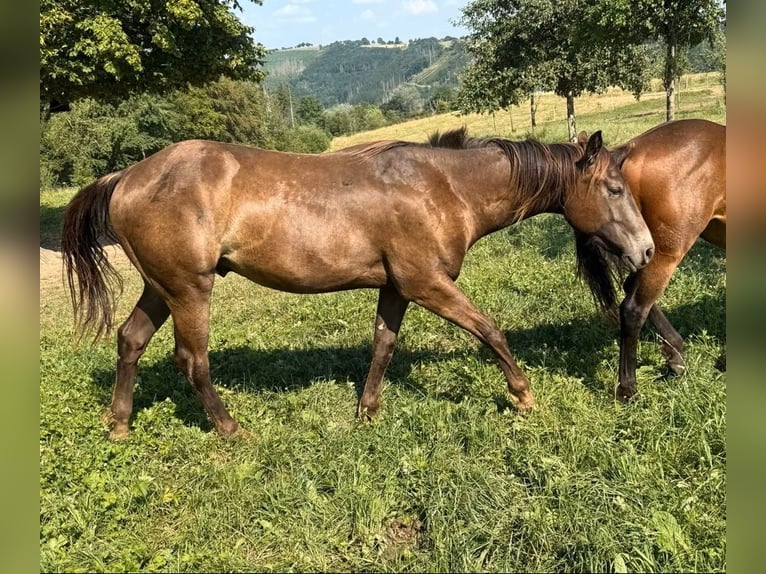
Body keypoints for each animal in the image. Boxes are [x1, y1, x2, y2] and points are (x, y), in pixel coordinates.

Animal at [61, 128, 654, 439]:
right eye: (615, 188)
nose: (646, 250)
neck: (443, 187)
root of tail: (125, 177)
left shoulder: (396, 288)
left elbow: (383, 347)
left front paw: (367, 413)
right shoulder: (426, 284)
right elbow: (489, 330)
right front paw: (523, 394)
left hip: (161, 288)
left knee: (131, 340)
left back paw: (119, 424)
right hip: (189, 290)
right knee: (192, 360)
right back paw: (230, 428)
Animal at [575, 119, 725, 400]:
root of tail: (633, 148)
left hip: (643, 250)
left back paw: (675, 354)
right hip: (665, 252)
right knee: (633, 308)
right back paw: (628, 387)